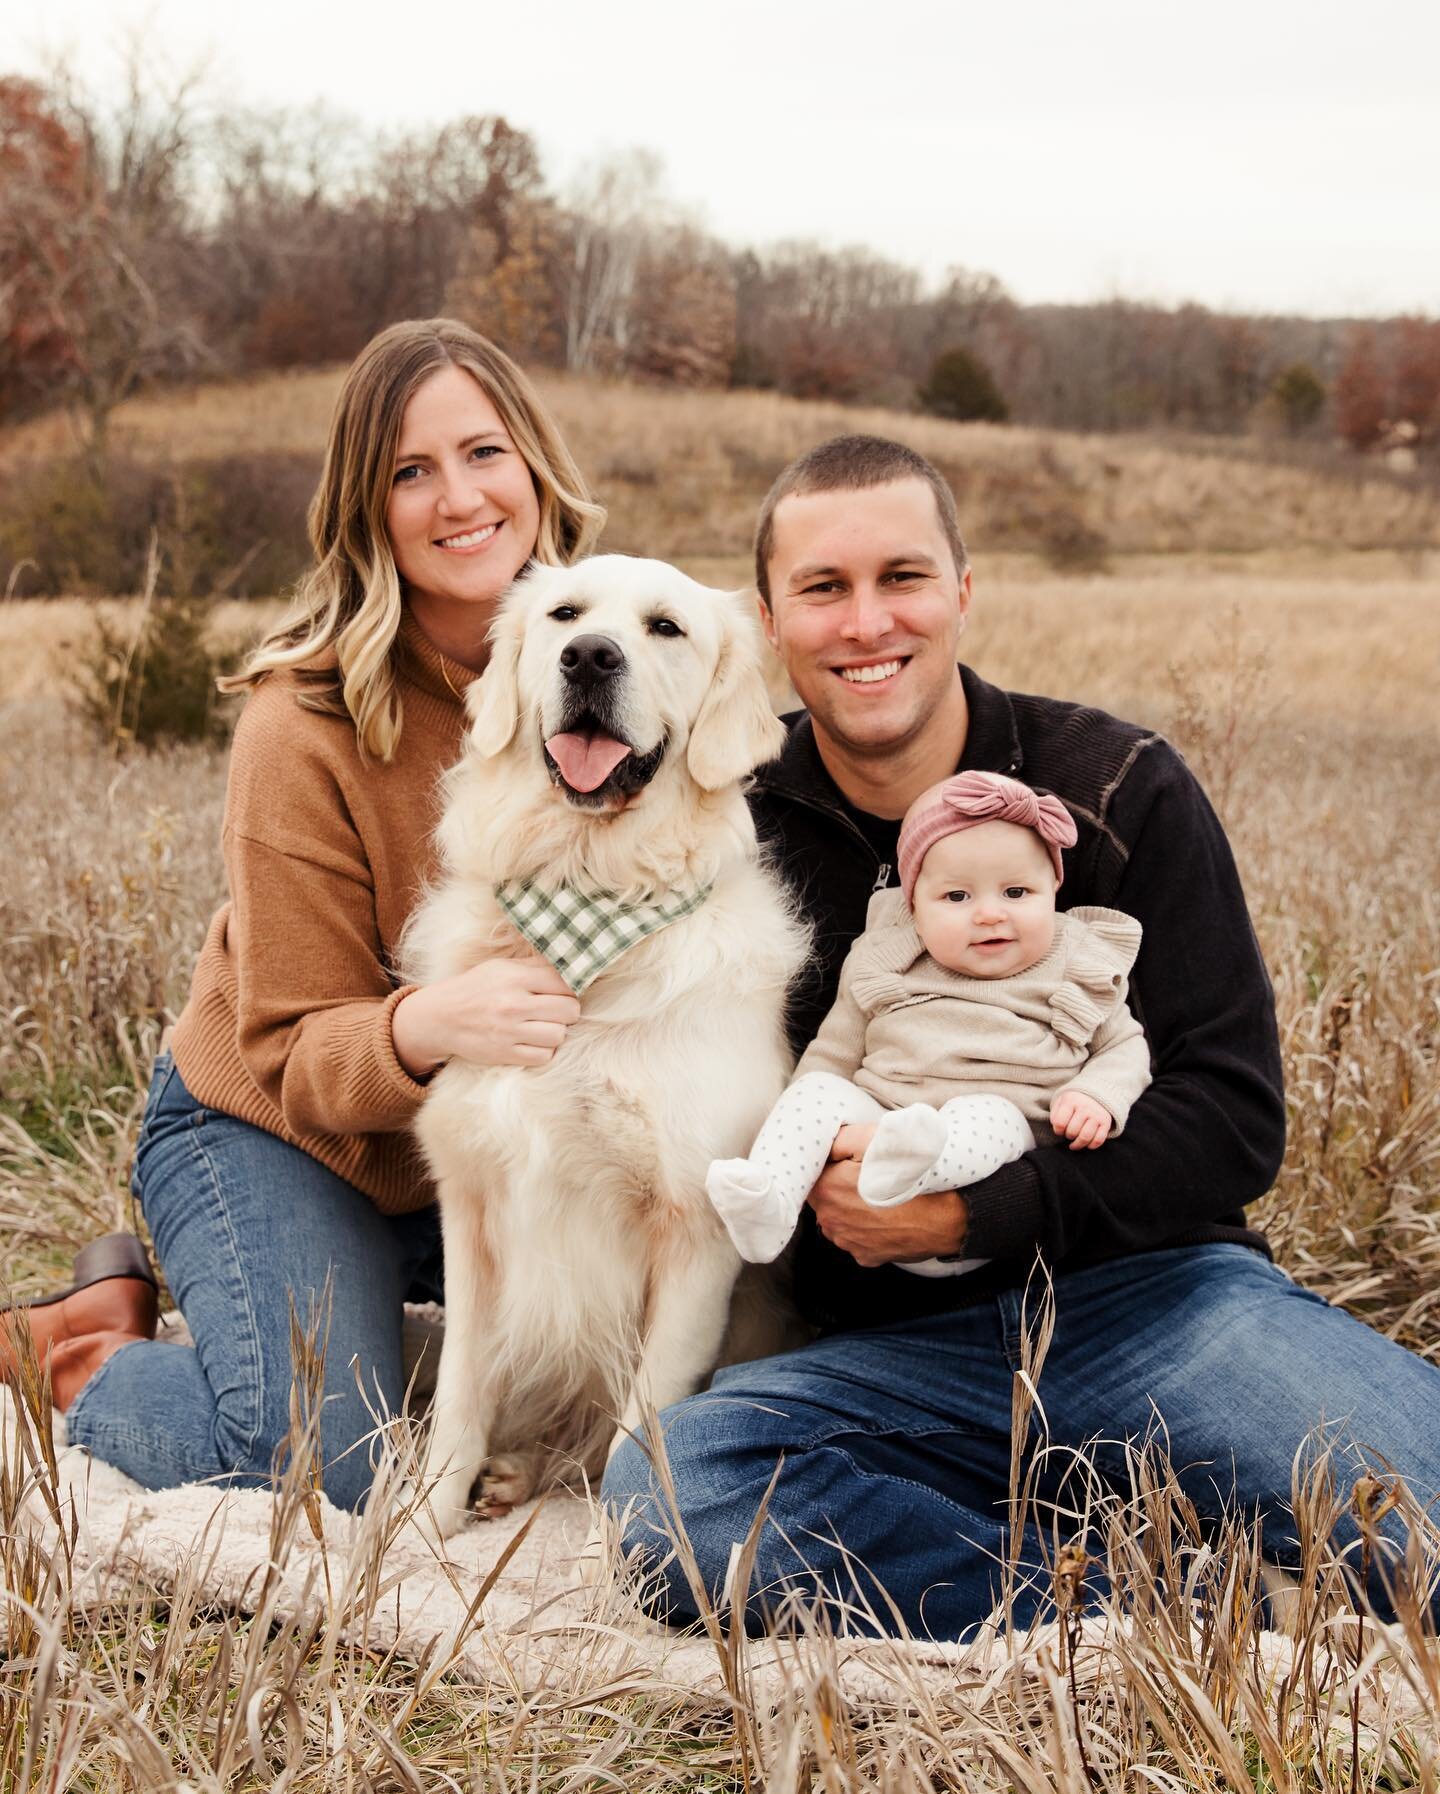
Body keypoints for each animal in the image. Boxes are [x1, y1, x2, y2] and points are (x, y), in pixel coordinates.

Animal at [403, 556, 810, 1542]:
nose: (589, 657)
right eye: (565, 614)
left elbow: (640, 1438)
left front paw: (605, 1561)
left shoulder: (698, 1235)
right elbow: (462, 1394)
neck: (586, 890)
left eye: (666, 628)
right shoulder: (472, 1209)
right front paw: (416, 1535)